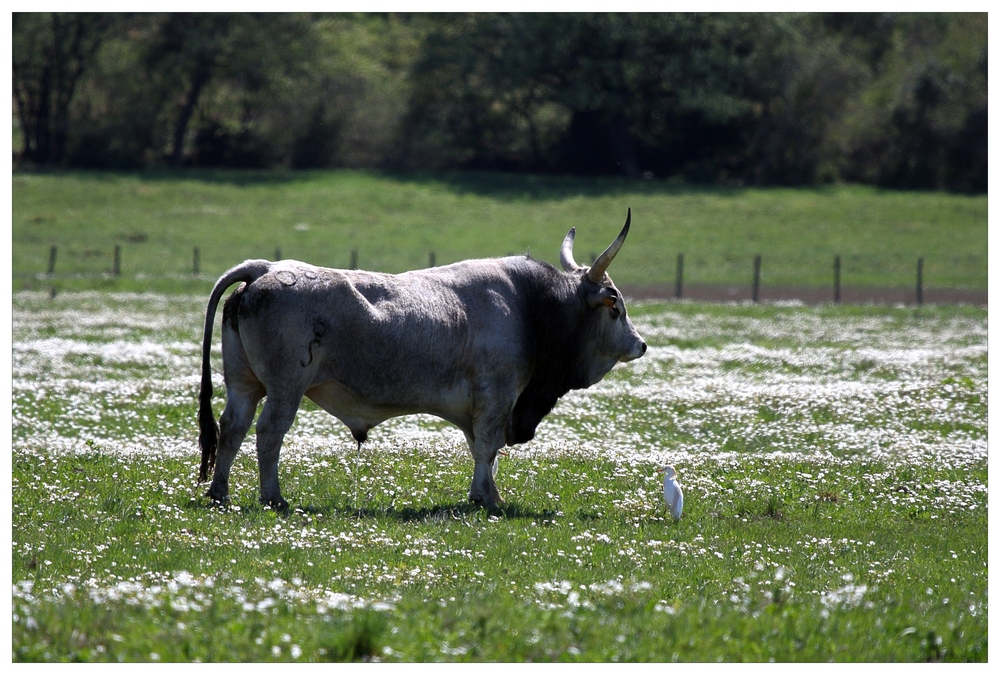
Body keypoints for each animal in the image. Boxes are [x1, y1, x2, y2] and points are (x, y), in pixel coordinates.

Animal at [197, 210, 648, 508]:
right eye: (615, 306)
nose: (641, 344)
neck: (530, 305)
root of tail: (266, 268)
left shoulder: (481, 405)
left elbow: (482, 449)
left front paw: (491, 494)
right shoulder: (497, 397)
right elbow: (487, 447)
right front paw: (486, 499)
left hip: (243, 384)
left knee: (232, 428)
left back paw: (220, 493)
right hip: (286, 388)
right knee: (268, 433)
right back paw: (273, 498)